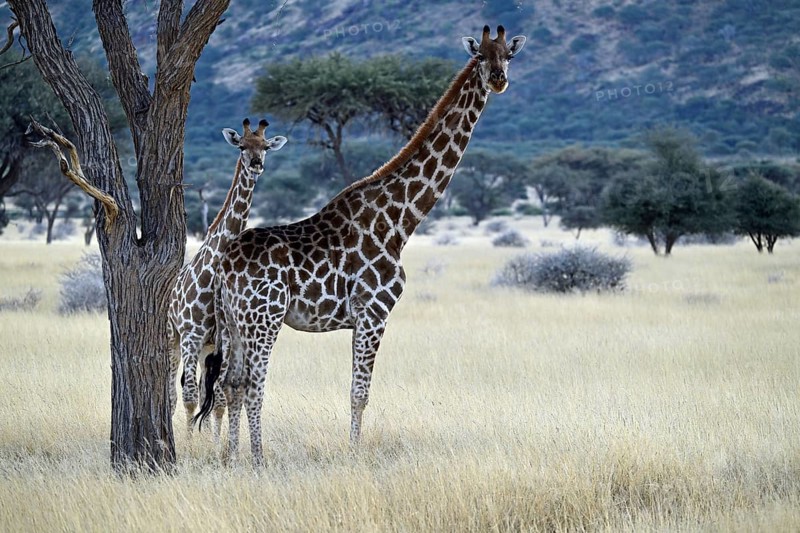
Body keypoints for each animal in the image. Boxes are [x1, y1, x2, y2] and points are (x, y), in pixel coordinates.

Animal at [168, 118, 287, 438]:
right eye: (242, 146)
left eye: (266, 146)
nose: (257, 165)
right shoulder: (191, 335)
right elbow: (188, 395)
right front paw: (190, 443)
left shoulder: (219, 340)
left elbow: (219, 398)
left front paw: (216, 443)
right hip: (173, 337)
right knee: (175, 392)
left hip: (205, 348)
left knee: (203, 389)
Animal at [195, 26, 526, 464]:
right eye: (480, 57)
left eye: (508, 54)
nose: (499, 80)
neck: (401, 221)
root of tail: (225, 264)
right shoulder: (374, 312)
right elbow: (359, 394)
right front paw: (354, 455)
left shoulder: (360, 318)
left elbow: (355, 390)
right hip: (263, 319)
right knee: (251, 384)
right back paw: (259, 460)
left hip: (232, 321)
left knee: (229, 383)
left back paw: (233, 458)